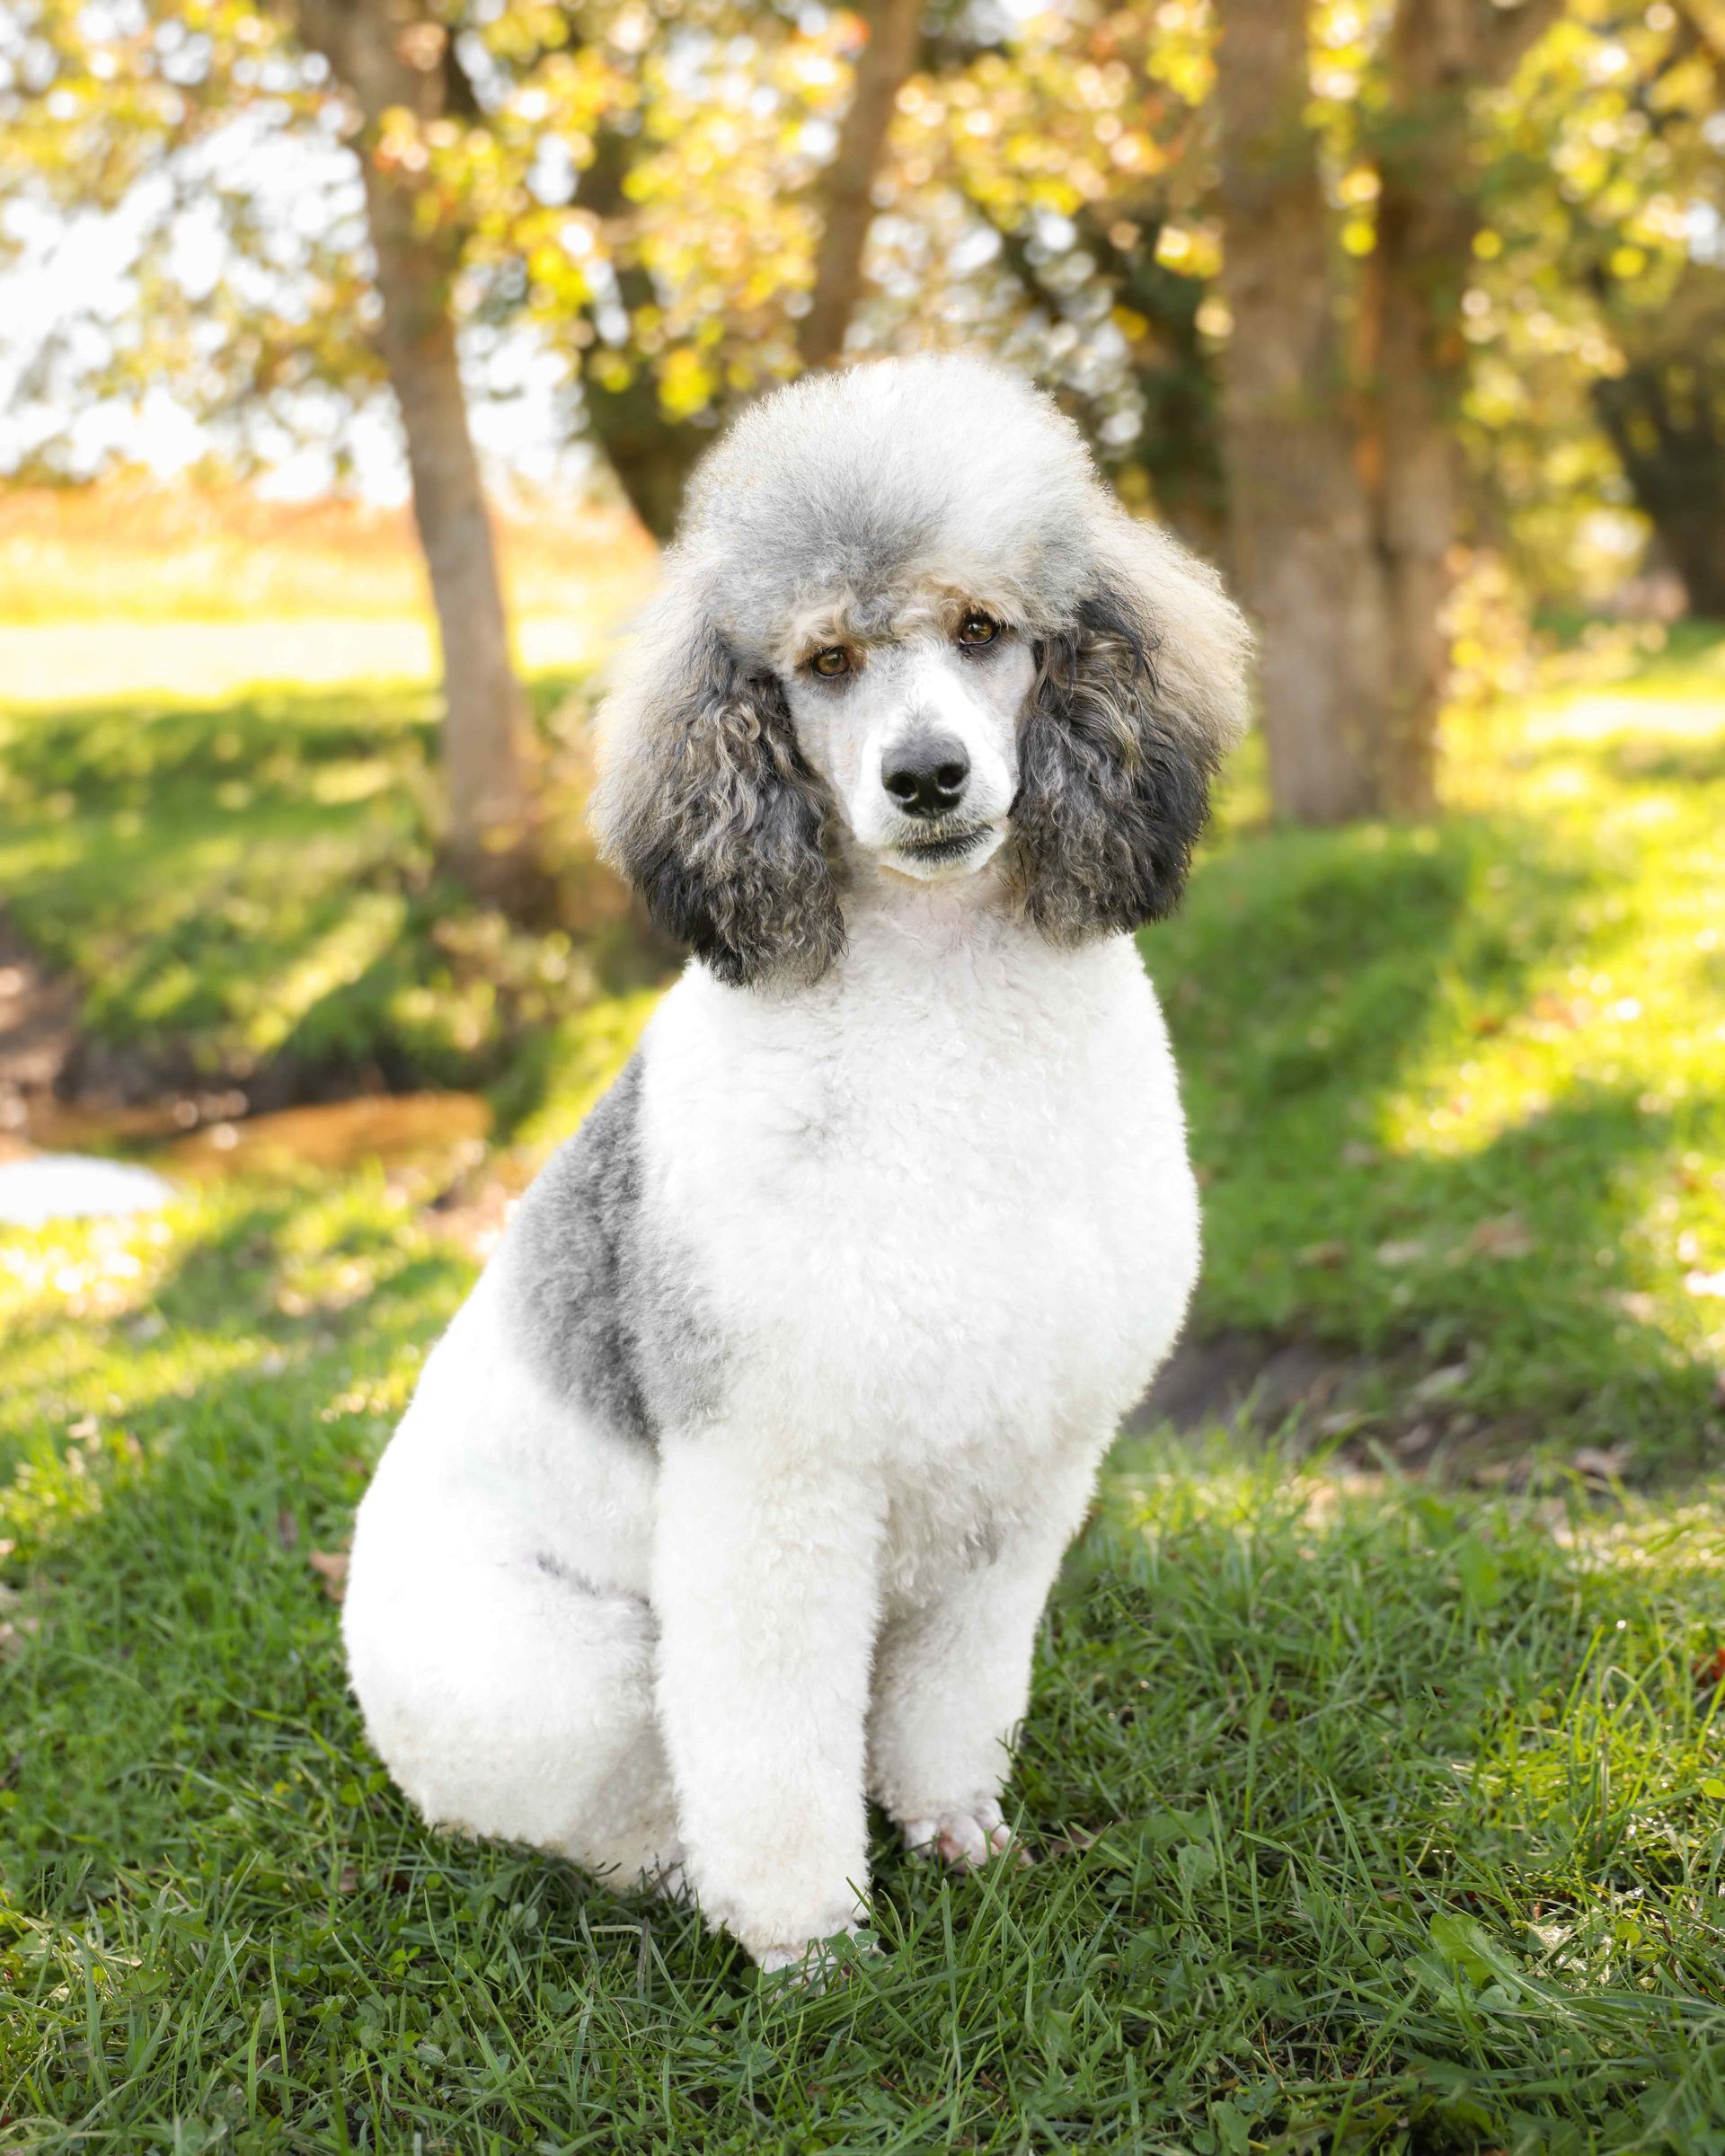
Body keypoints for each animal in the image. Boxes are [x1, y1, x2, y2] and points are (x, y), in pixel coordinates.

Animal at [342, 353, 1250, 1973]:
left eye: (983, 630)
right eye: (824, 661)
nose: (927, 775)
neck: (943, 1028)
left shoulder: (1025, 1475)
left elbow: (958, 1692)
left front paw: (952, 1830)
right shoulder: (775, 1484)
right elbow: (769, 1746)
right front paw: (810, 1948)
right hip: (571, 1675)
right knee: (601, 1814)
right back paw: (676, 1880)